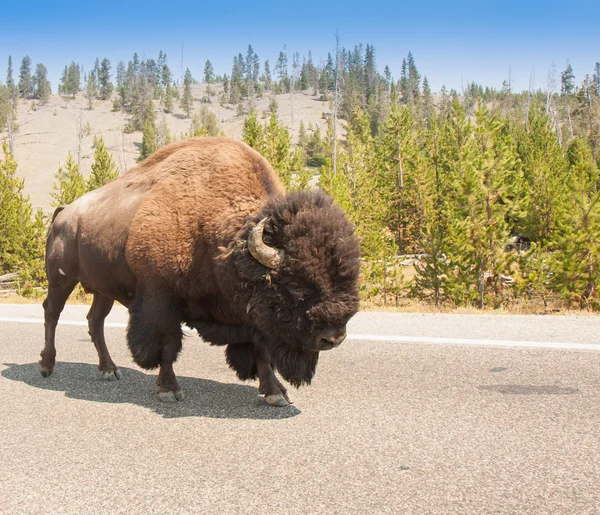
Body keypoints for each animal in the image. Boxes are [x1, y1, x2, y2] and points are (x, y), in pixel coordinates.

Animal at [43, 137, 360, 408]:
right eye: (295, 286)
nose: (334, 338)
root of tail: (64, 212)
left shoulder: (251, 316)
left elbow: (261, 351)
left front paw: (275, 393)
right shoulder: (160, 298)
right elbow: (168, 344)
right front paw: (169, 390)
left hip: (102, 289)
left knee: (95, 321)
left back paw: (109, 370)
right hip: (61, 279)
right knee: (52, 312)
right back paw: (47, 366)